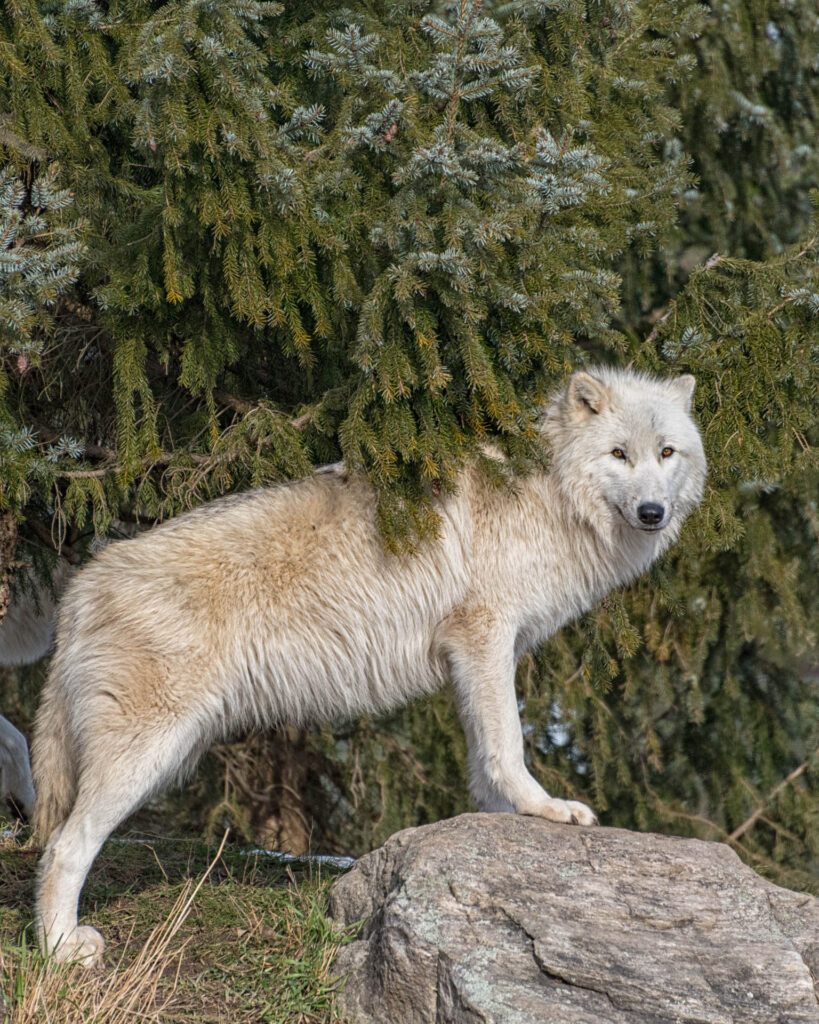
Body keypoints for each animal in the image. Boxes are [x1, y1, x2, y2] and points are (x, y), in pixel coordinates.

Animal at [33, 364, 704, 962]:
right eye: (619, 454)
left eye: (667, 453)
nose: (652, 512)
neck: (549, 494)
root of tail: (80, 589)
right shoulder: (486, 638)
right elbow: (509, 743)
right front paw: (544, 810)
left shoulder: (474, 656)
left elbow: (483, 756)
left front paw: (496, 821)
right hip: (149, 754)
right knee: (64, 848)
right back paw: (63, 951)